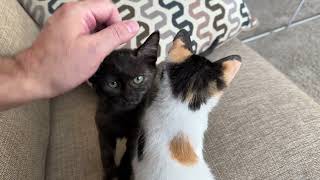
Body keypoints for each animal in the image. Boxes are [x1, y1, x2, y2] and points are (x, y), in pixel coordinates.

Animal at [89, 31, 160, 179]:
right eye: (112, 84)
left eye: (139, 79)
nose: (128, 96)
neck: (122, 114)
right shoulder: (103, 130)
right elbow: (106, 154)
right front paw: (110, 174)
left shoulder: (136, 131)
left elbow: (129, 153)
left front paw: (123, 172)